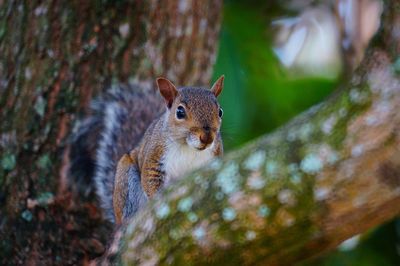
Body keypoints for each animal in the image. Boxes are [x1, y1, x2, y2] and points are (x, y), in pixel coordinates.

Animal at [69, 76, 225, 223]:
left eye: (220, 112)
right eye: (180, 112)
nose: (207, 138)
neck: (189, 147)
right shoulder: (155, 154)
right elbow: (151, 178)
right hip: (126, 179)